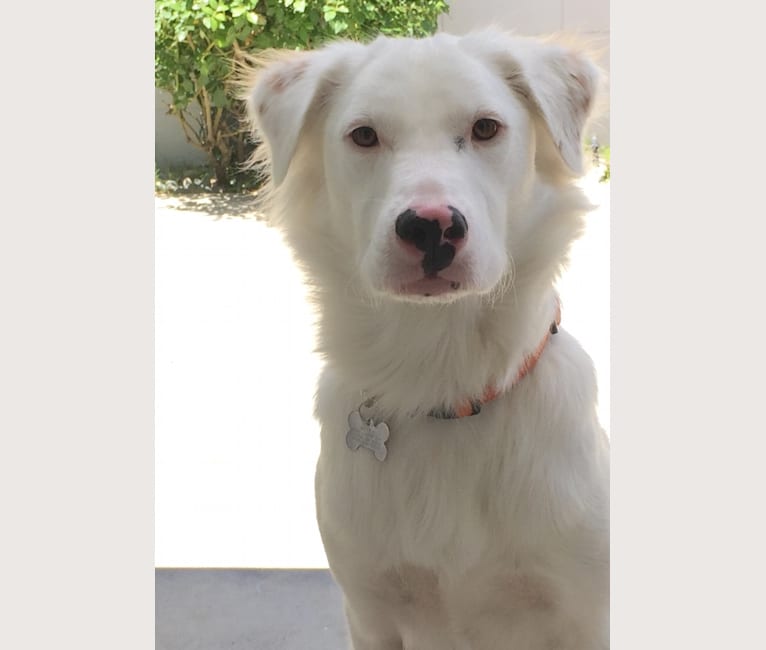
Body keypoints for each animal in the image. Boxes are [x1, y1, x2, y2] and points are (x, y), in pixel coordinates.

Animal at [243, 27, 608, 644]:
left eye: (486, 127)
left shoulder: (589, 614)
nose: (431, 227)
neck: (440, 379)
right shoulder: (369, 611)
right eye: (364, 136)